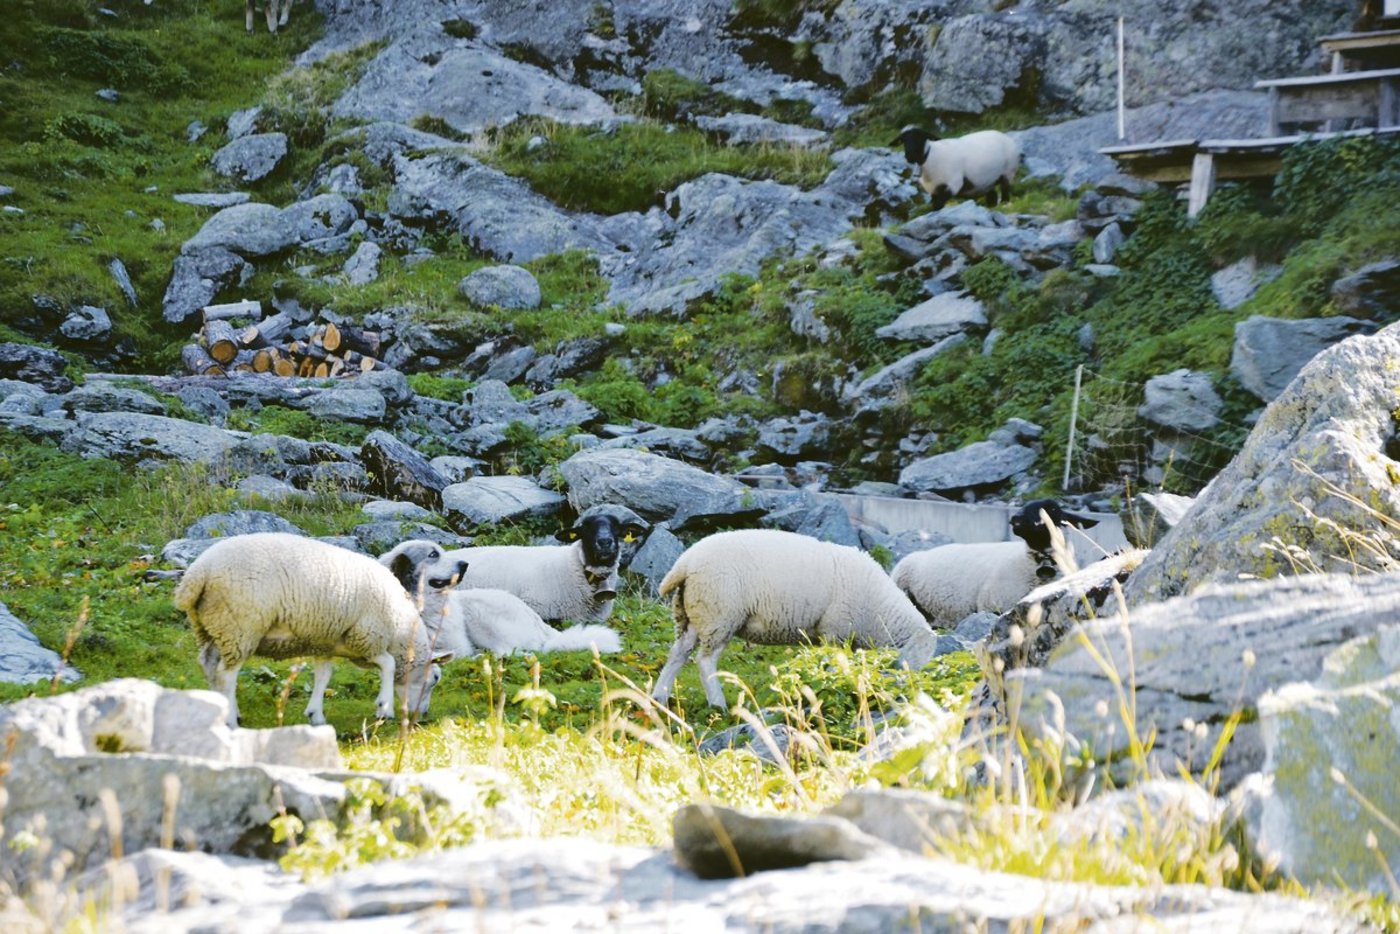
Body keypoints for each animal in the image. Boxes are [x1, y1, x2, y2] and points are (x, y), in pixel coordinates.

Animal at [172, 532, 456, 728]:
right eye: (434, 678)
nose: (423, 716)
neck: (401, 630)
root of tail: (198, 573)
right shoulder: (367, 633)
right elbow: (388, 665)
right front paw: (384, 707)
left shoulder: (328, 641)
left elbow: (323, 676)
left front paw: (316, 714)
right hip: (240, 626)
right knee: (227, 674)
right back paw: (231, 718)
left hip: (211, 626)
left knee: (209, 666)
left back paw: (220, 710)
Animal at [380, 540, 623, 657]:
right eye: (433, 555)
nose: (464, 565)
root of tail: (538, 621)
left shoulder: (458, 647)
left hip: (481, 615)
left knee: (516, 651)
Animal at [649, 529, 941, 709]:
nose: (909, 693)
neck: (880, 612)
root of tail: (686, 563)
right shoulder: (834, 632)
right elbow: (834, 665)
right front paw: (836, 686)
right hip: (720, 613)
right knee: (705, 661)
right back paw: (717, 702)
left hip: (691, 612)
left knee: (679, 653)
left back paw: (660, 696)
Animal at [891, 125, 1021, 210]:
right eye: (903, 140)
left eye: (921, 137)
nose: (910, 156)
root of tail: (1005, 136)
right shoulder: (933, 190)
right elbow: (935, 205)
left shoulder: (954, 183)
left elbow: (938, 205)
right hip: (987, 182)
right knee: (992, 195)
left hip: (1008, 172)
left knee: (1005, 192)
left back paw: (1004, 204)